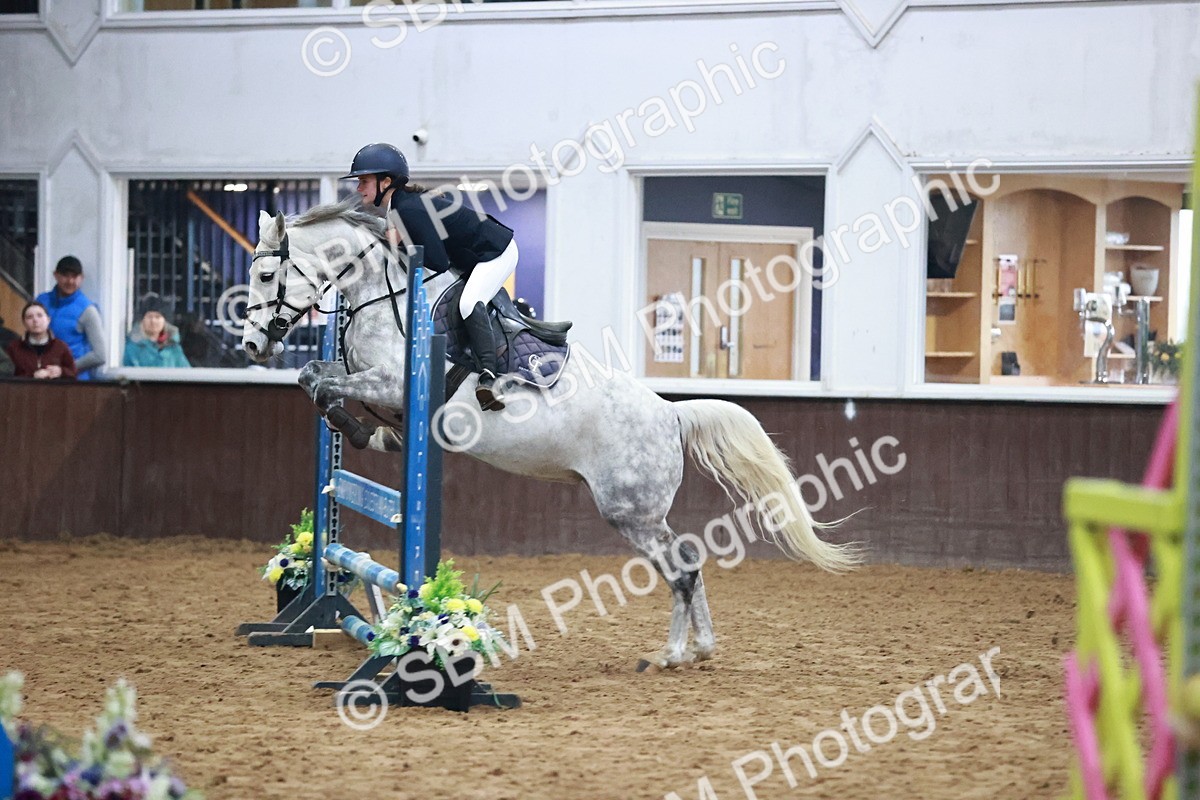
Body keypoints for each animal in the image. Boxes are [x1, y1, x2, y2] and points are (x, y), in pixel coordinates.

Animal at [241, 199, 861, 671]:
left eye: (267, 275)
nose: (252, 344)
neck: (382, 295)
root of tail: (669, 414)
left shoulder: (395, 383)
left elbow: (324, 383)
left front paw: (355, 428)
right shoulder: (369, 381)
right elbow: (315, 376)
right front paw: (364, 433)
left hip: (629, 511)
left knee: (681, 567)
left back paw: (671, 655)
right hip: (641, 512)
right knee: (689, 559)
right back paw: (700, 649)